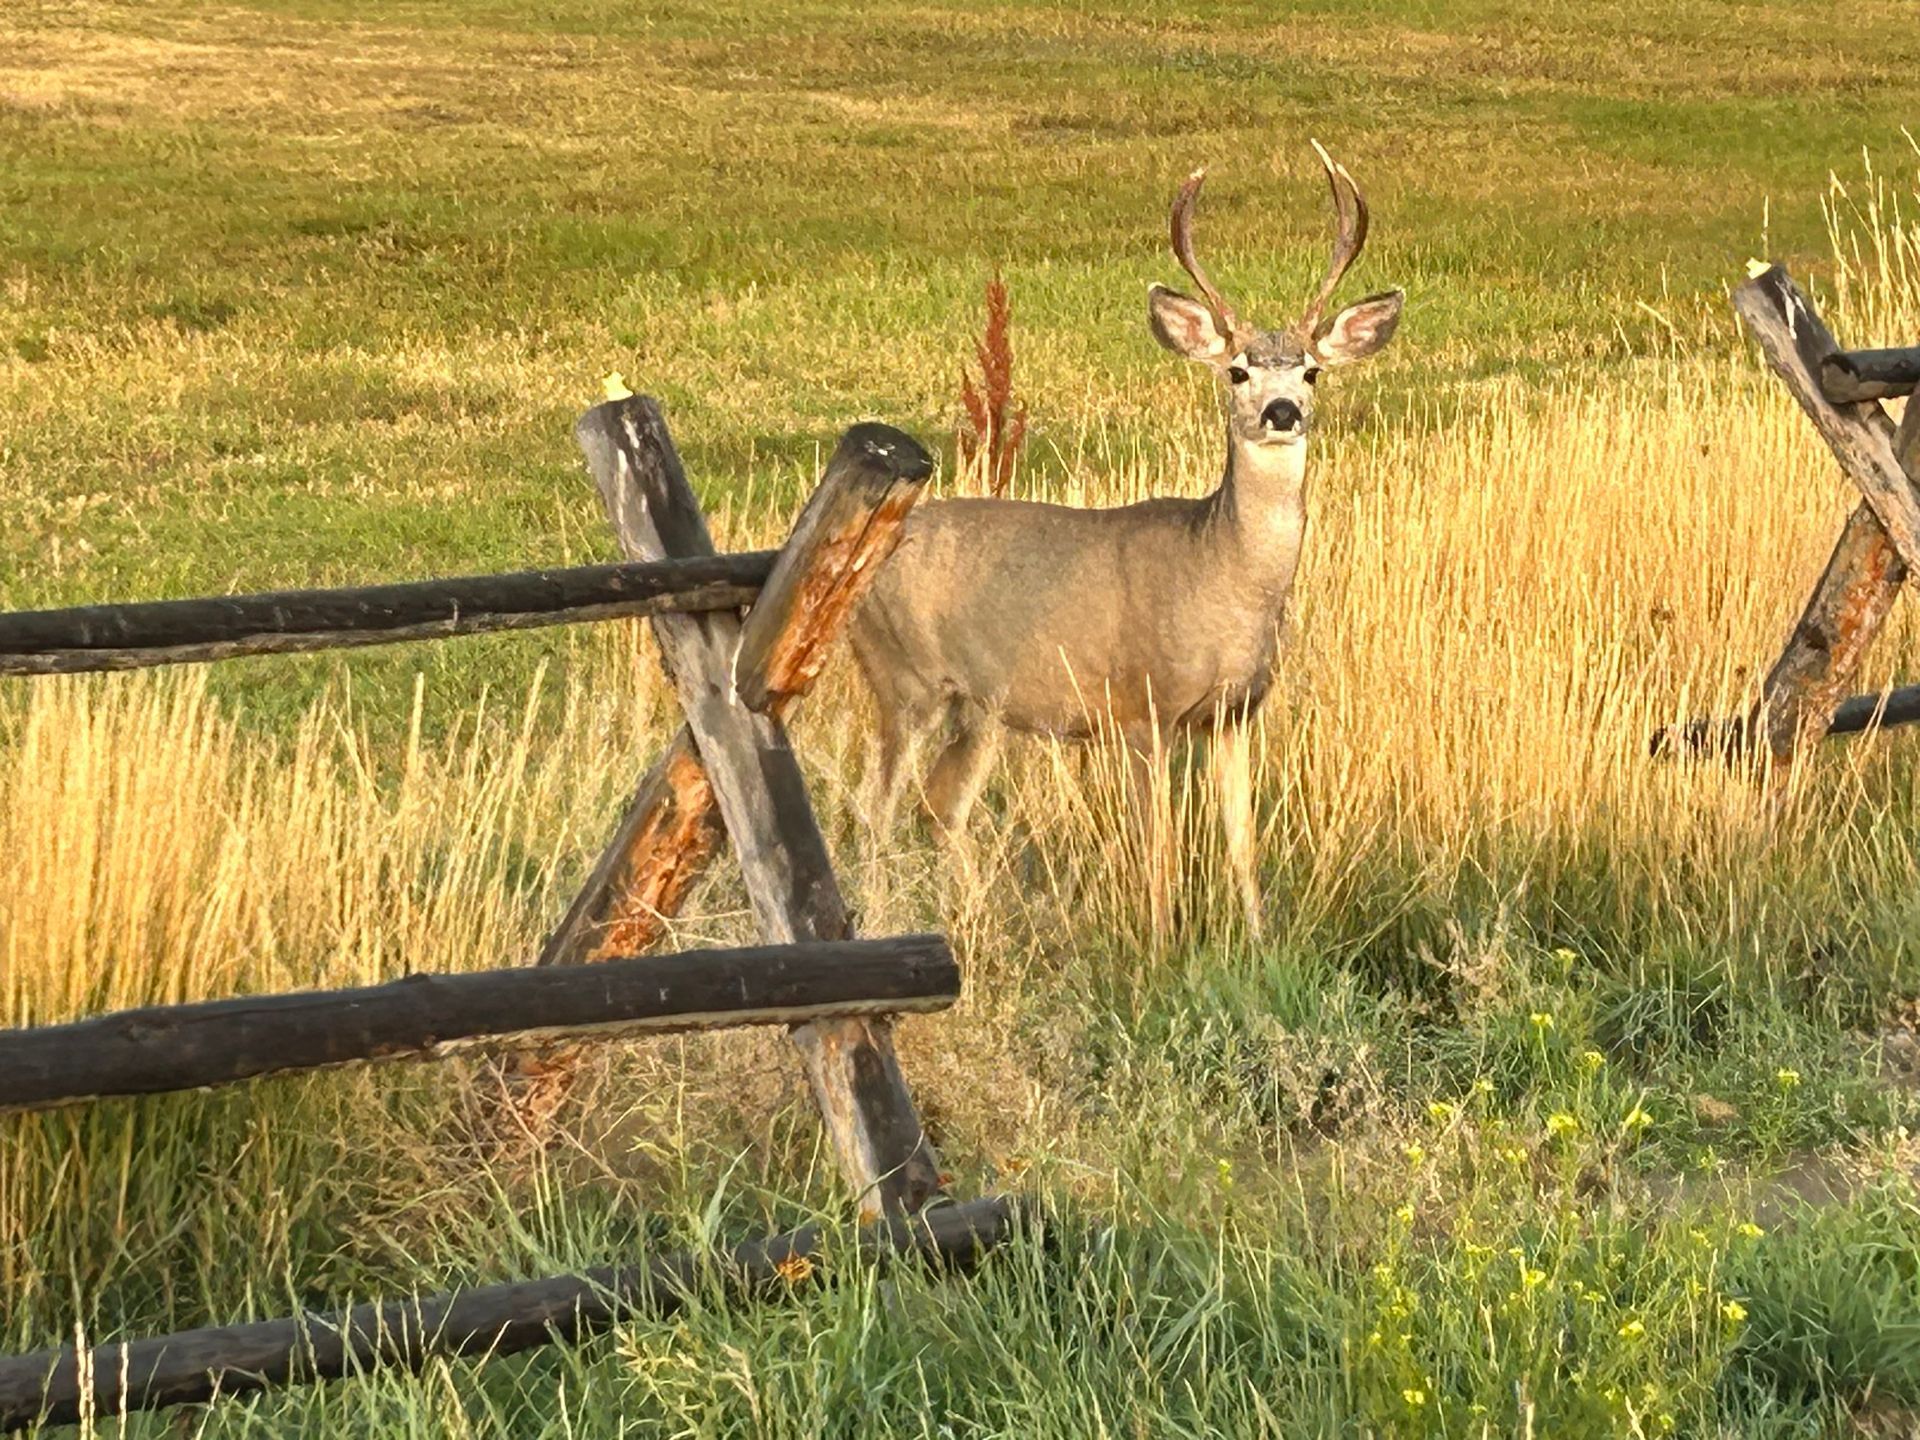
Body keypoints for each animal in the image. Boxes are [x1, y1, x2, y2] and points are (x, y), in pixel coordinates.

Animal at [849, 141, 1403, 934]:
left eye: (1312, 370)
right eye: (1237, 371)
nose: (1283, 410)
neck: (1219, 574)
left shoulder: (1235, 714)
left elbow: (1243, 844)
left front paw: (1257, 942)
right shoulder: (1143, 709)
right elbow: (1160, 849)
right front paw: (1164, 942)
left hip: (978, 706)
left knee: (940, 807)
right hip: (903, 680)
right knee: (874, 811)